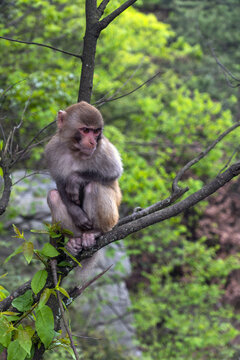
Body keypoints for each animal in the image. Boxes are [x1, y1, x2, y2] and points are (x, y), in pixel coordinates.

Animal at [45, 100, 123, 255]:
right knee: (53, 196)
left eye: (96, 131)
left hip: (113, 218)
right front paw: (77, 214)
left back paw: (97, 232)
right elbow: (59, 182)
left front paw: (74, 179)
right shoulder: (51, 150)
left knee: (94, 186)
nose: (93, 142)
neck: (75, 150)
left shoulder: (102, 147)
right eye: (86, 130)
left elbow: (114, 171)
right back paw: (74, 241)